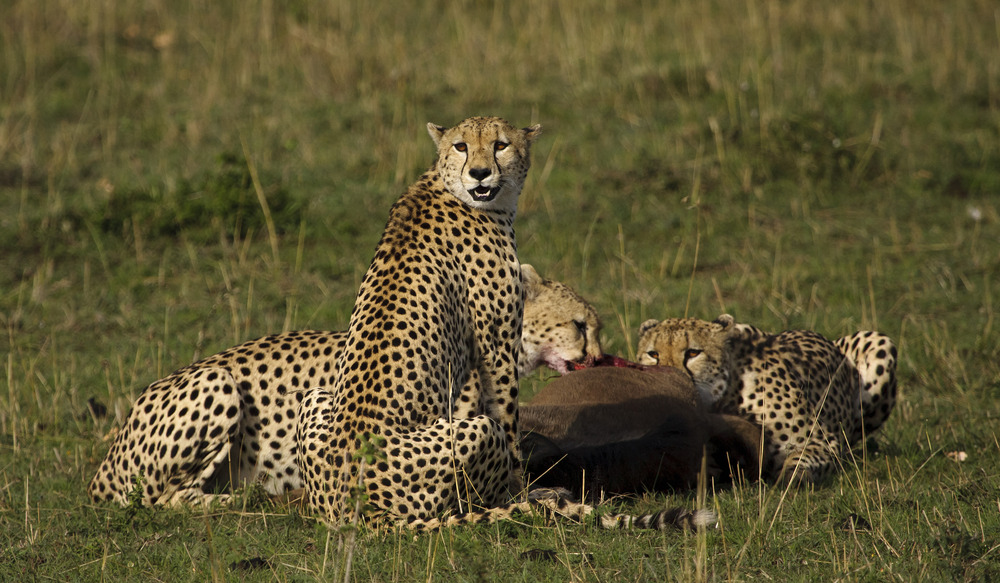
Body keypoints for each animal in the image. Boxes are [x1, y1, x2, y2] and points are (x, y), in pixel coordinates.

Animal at [88, 262, 600, 508]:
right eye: (579, 325)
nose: (597, 357)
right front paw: (547, 496)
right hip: (217, 383)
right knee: (168, 498)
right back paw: (247, 499)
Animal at [636, 314, 904, 484]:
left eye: (693, 353)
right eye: (653, 354)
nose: (666, 377)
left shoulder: (825, 441)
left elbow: (800, 463)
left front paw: (791, 477)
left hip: (879, 342)